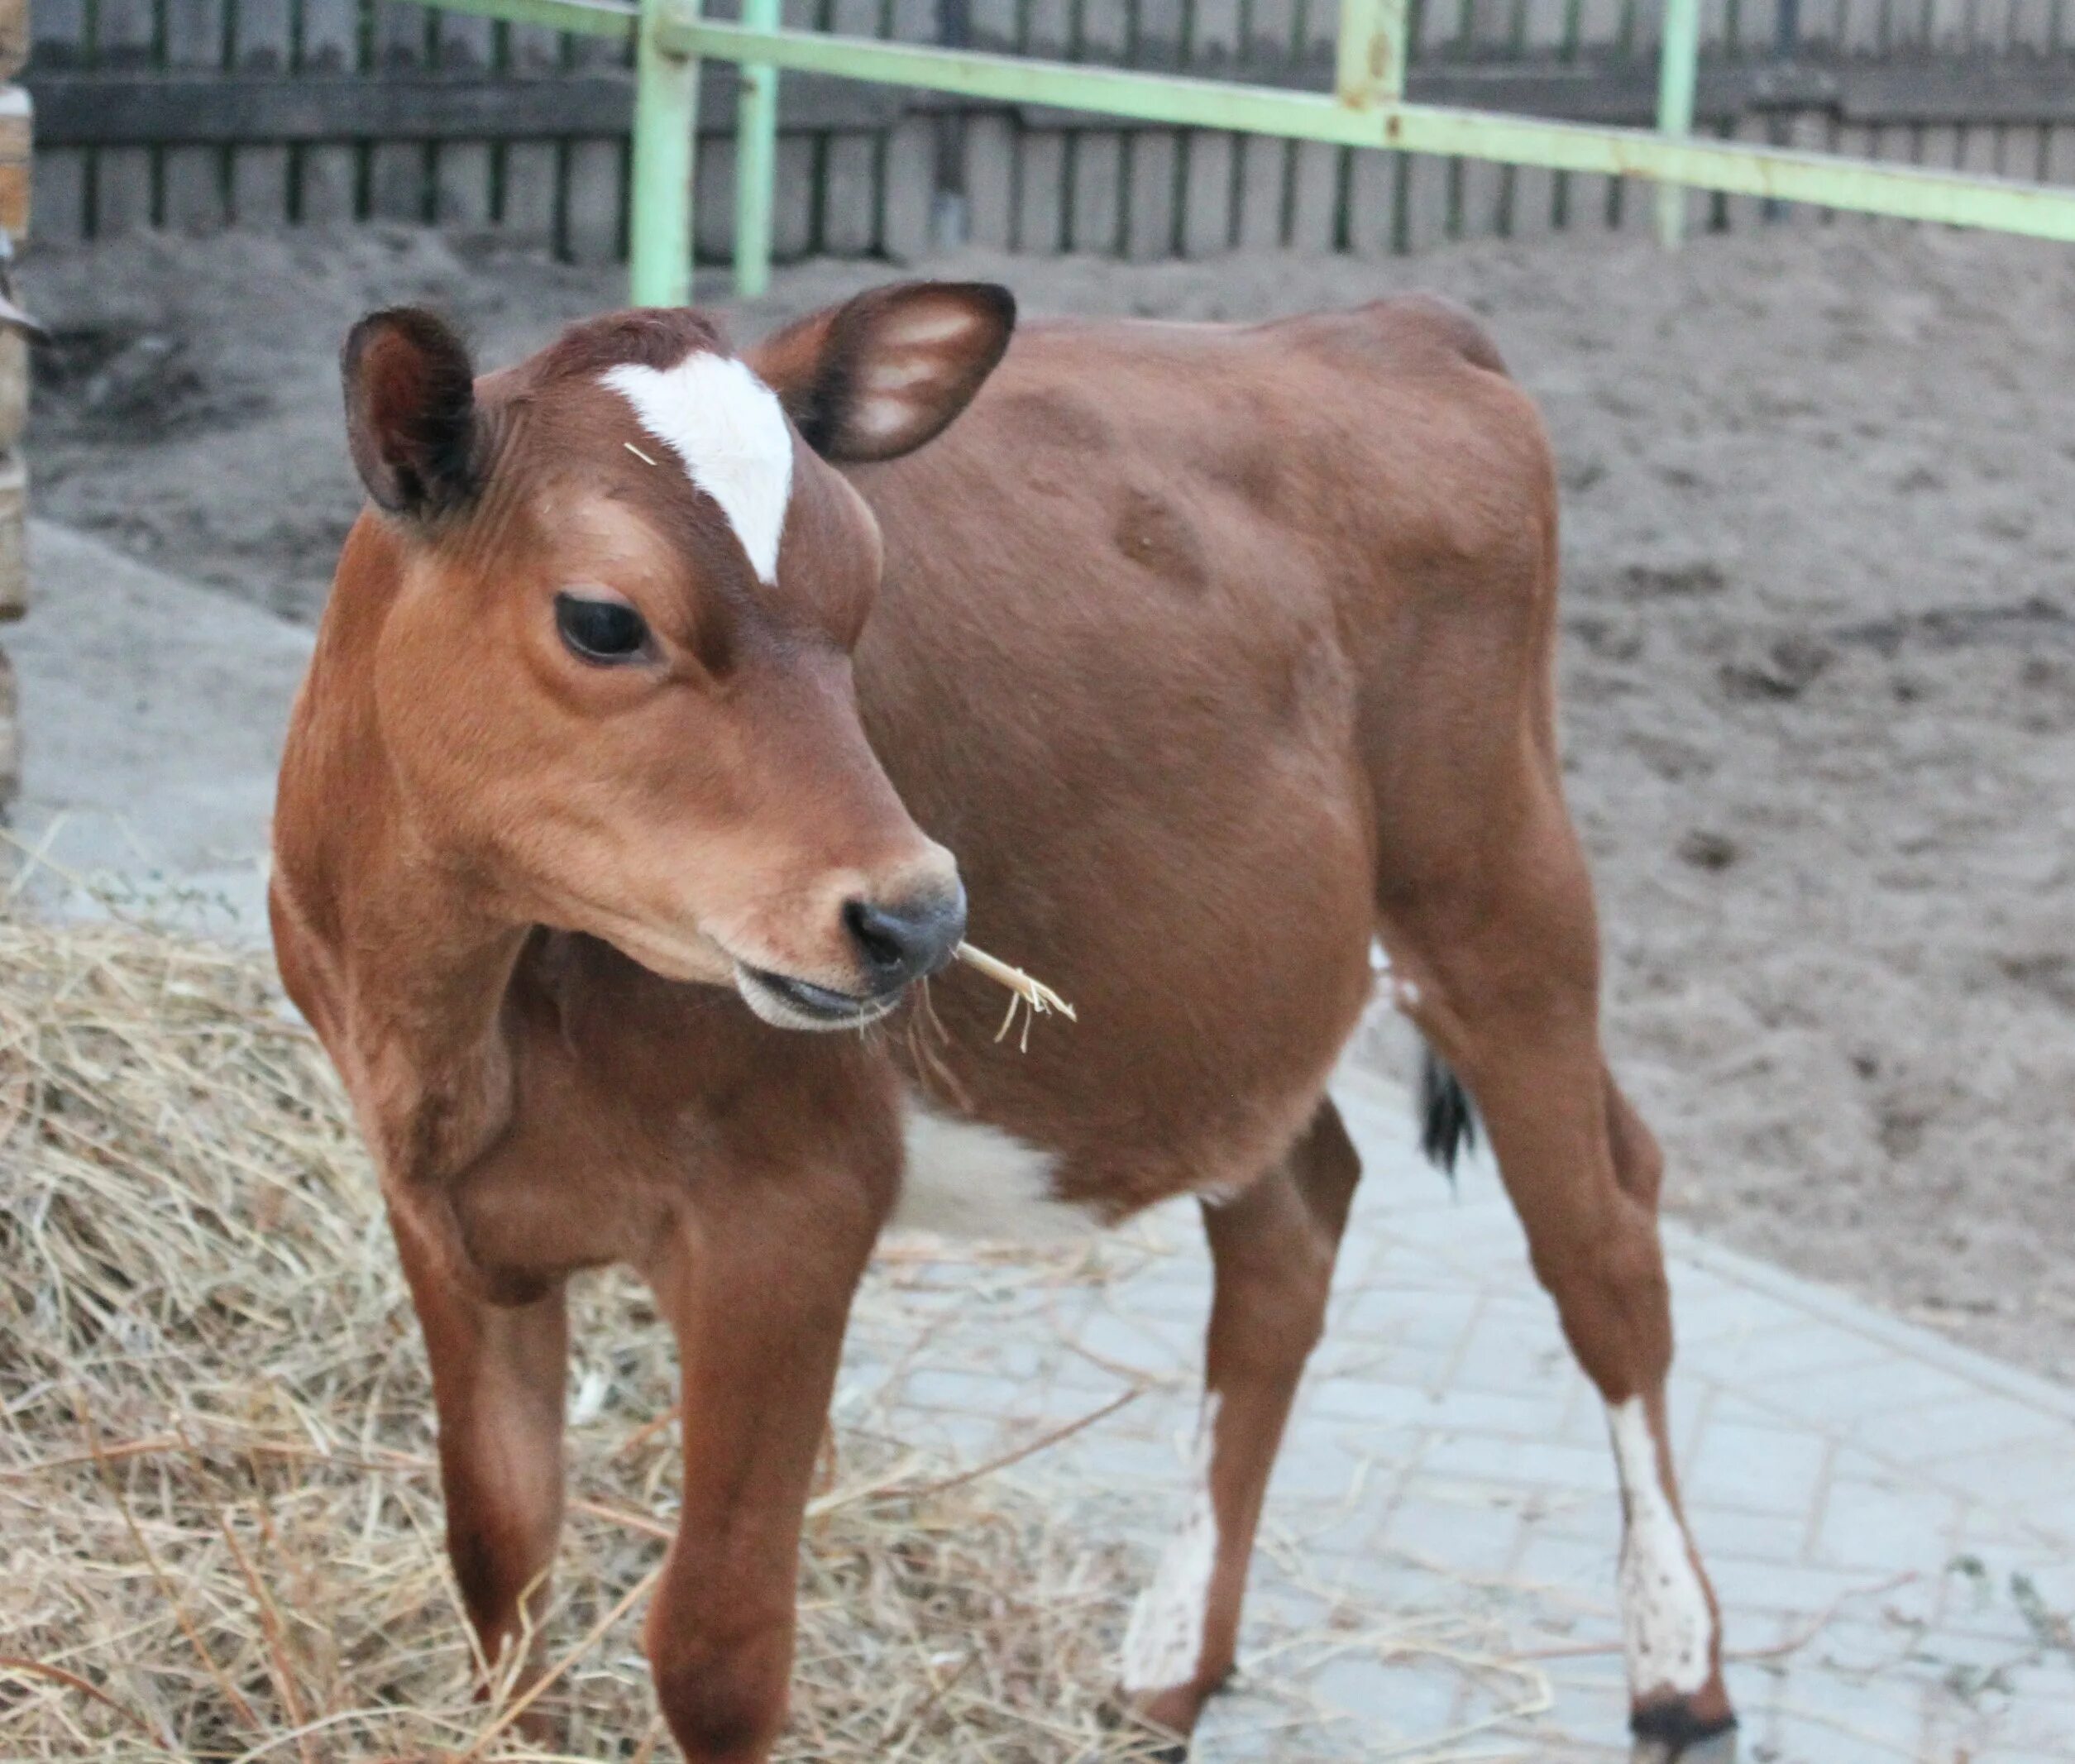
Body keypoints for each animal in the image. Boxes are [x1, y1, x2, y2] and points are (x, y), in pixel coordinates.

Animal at [271, 282, 1734, 1751]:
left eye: (865, 591)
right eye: (602, 619)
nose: (916, 916)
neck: (454, 1032)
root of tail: (1386, 323)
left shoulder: (793, 1207)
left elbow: (717, 1646)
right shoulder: (434, 1205)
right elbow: (498, 1547)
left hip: (1493, 889)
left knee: (1604, 1242)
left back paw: (1679, 1669)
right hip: (1255, 989)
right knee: (1293, 1224)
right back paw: (1168, 1664)